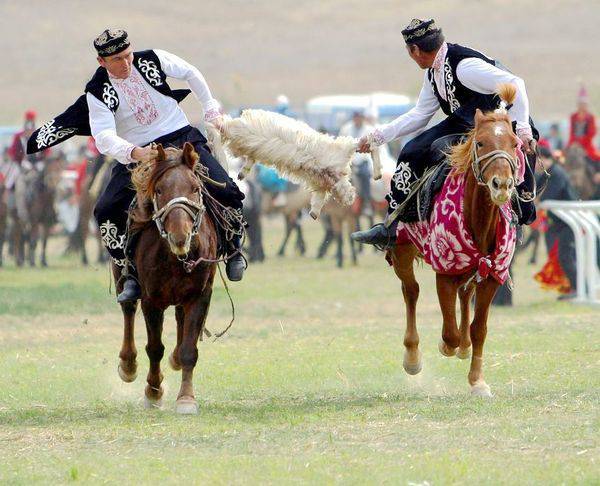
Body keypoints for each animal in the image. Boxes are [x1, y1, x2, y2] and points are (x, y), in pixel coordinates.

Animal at [116, 142, 218, 416]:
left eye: (195, 188)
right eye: (160, 189)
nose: (179, 236)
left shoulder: (199, 295)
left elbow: (189, 350)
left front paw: (186, 399)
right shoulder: (152, 300)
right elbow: (154, 348)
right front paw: (153, 392)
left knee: (180, 321)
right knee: (128, 309)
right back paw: (128, 365)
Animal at [390, 82, 520, 394]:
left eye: (514, 143)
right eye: (481, 143)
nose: (502, 184)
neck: (478, 221)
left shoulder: (492, 275)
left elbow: (479, 329)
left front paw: (477, 381)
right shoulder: (445, 274)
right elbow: (448, 333)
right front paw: (448, 346)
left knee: (464, 294)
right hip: (402, 251)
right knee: (411, 291)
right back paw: (413, 357)